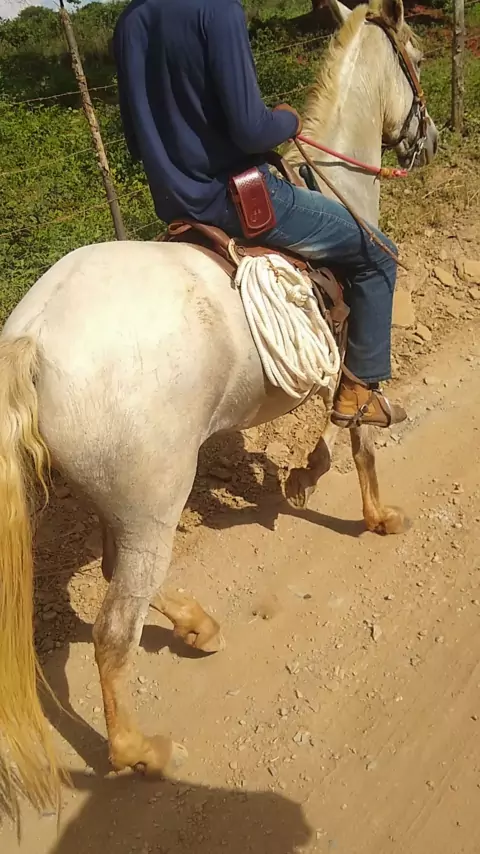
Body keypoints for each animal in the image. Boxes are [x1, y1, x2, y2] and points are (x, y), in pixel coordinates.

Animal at [0, 0, 438, 820]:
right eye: (418, 57)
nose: (425, 140)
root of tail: (33, 335)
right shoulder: (359, 325)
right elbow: (359, 422)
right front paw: (371, 512)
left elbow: (330, 424)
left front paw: (299, 477)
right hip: (154, 496)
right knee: (113, 627)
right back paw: (137, 751)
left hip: (123, 495)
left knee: (120, 575)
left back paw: (195, 625)